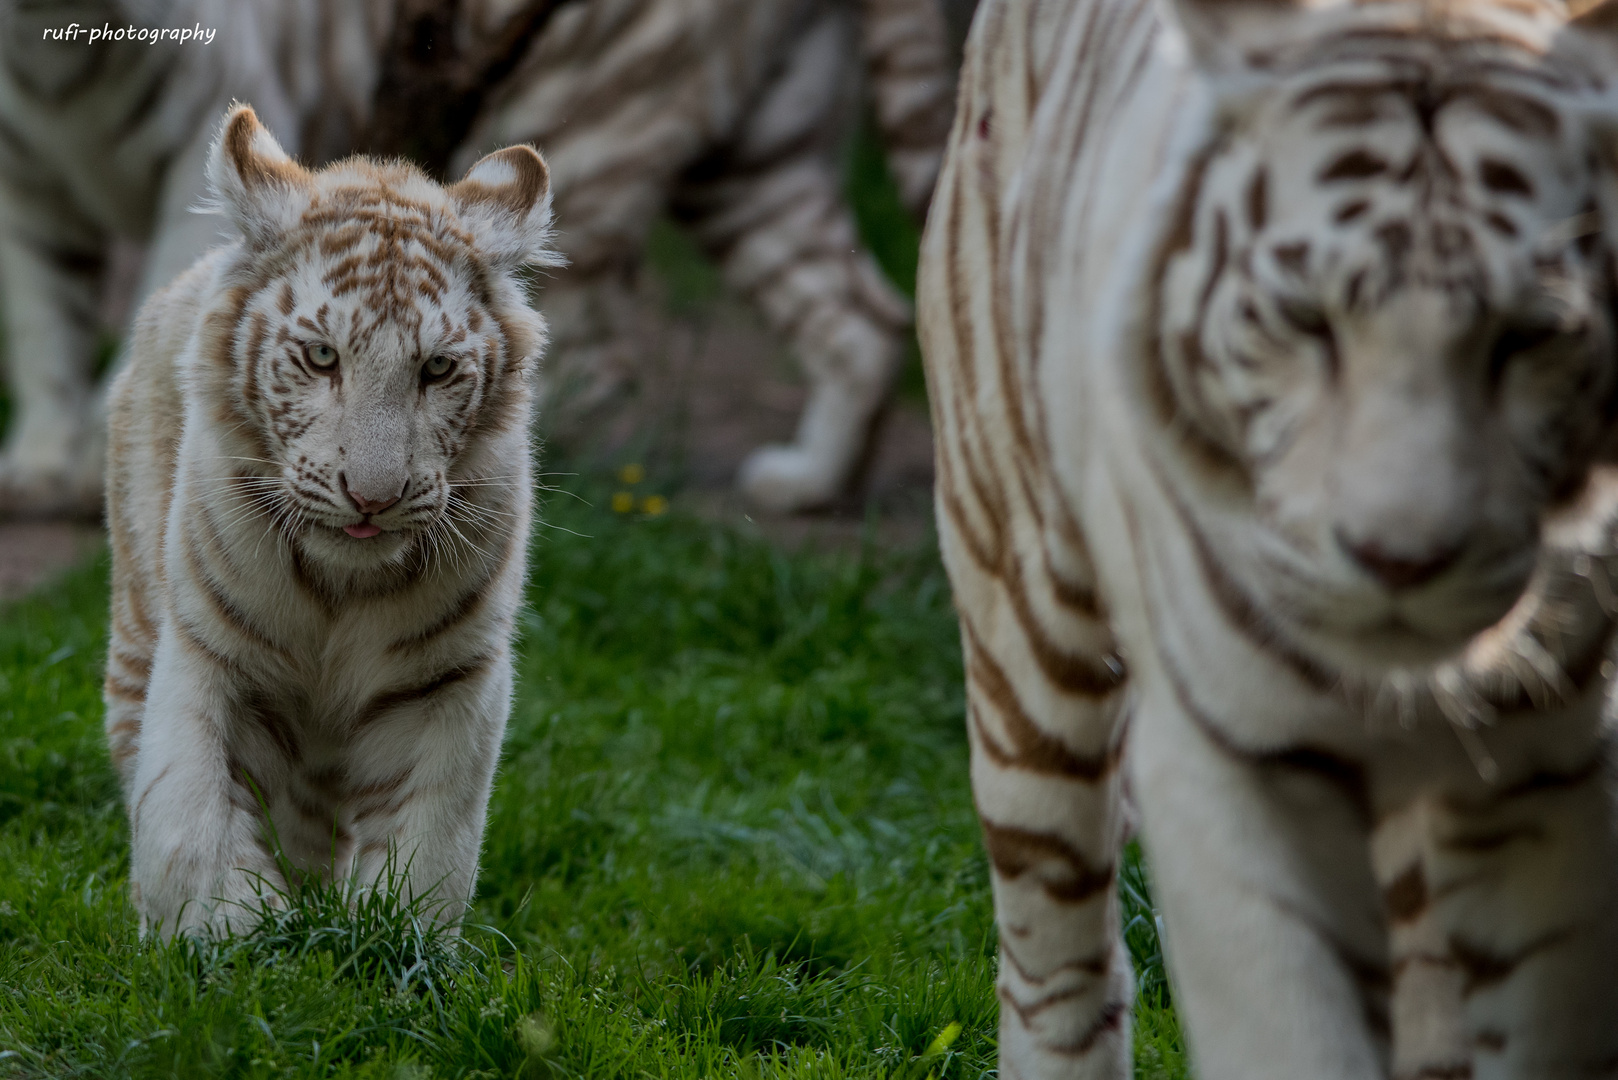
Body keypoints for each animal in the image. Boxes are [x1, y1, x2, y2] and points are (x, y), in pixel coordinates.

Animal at [0, 0, 957, 518]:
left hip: (588, 118)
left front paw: (103, 466)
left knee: (584, 358)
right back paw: (810, 482)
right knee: (863, 319)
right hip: (758, 159)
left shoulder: (212, 141)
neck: (56, 55)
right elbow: (44, 329)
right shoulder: (25, 188)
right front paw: (42, 466)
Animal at [925, 0, 1618, 1075]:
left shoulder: (1557, 772)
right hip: (1025, 632)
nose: (1401, 559)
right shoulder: (1235, 759)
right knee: (1058, 959)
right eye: (1305, 321)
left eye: (1530, 337)